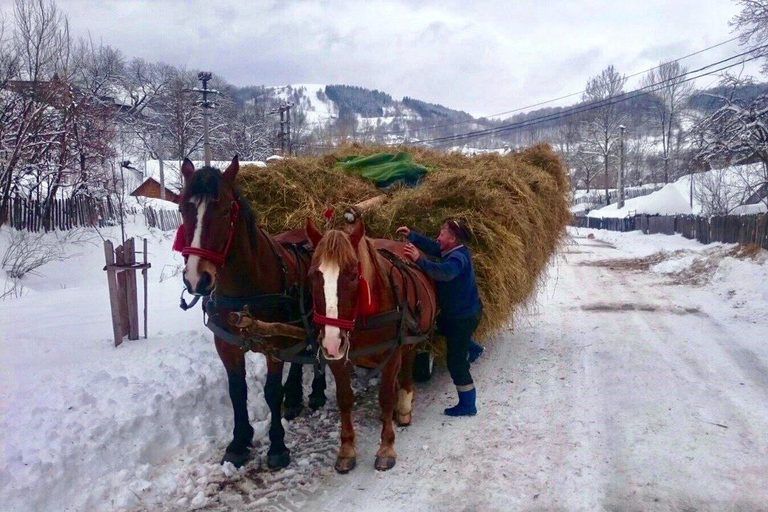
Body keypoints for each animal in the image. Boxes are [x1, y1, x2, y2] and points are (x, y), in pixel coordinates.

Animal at [178, 157, 326, 468]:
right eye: (183, 208)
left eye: (224, 210)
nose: (197, 279)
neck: (244, 288)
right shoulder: (226, 343)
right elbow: (237, 390)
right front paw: (239, 441)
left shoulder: (273, 343)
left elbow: (271, 390)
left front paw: (278, 445)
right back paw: (294, 398)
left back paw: (316, 393)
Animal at [306, 218, 438, 470]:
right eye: (314, 275)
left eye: (352, 274)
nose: (331, 341)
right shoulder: (337, 359)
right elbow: (345, 398)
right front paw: (347, 450)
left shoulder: (392, 353)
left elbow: (385, 396)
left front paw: (386, 447)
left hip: (410, 340)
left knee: (408, 362)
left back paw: (403, 406)